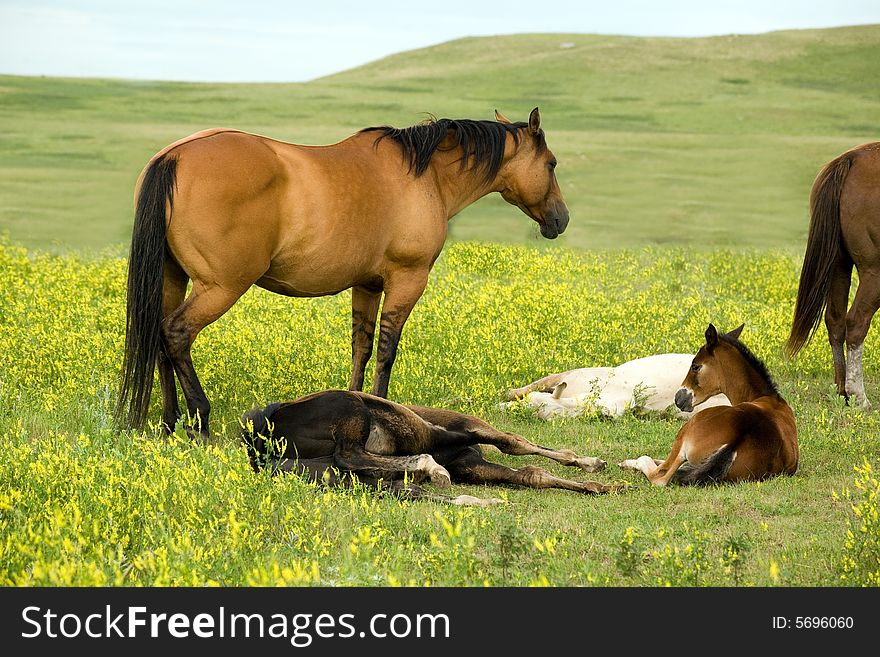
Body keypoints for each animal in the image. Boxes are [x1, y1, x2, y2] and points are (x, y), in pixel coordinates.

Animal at [117, 107, 568, 436]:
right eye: (551, 163)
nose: (560, 220)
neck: (427, 178)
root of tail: (174, 156)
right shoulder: (407, 281)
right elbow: (386, 351)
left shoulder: (366, 285)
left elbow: (361, 348)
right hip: (220, 287)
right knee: (176, 334)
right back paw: (199, 419)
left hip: (171, 279)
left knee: (159, 337)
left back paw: (170, 421)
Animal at [239, 390, 620, 508]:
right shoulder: (464, 429)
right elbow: (515, 443)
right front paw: (590, 464)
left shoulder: (470, 464)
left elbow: (531, 474)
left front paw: (601, 485)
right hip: (351, 411)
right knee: (351, 454)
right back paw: (431, 469)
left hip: (333, 477)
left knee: (400, 487)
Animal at [620, 324, 796, 484]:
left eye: (695, 366)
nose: (679, 398)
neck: (766, 397)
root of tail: (734, 442)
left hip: (684, 435)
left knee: (660, 475)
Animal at [788, 142, 880, 408]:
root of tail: (853, 158)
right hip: (874, 272)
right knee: (856, 321)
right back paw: (859, 396)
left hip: (839, 264)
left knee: (836, 320)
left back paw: (842, 392)